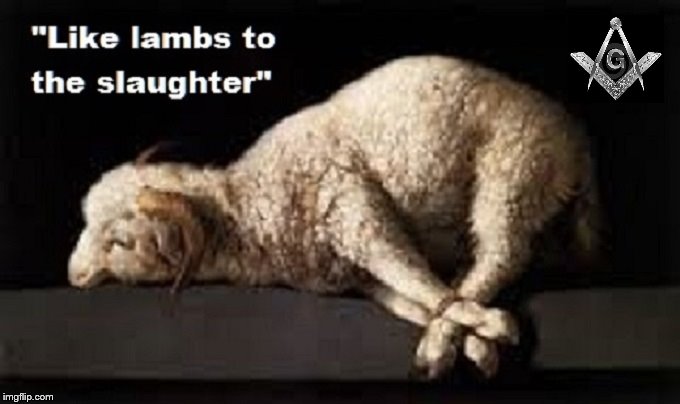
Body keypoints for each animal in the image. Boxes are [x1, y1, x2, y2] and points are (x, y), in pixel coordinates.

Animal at [68, 55, 601, 379]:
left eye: (120, 242)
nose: (73, 276)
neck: (247, 204)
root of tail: (575, 136)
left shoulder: (361, 217)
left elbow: (421, 282)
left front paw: (482, 331)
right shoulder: (358, 278)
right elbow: (414, 302)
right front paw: (469, 342)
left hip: (511, 176)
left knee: (500, 256)